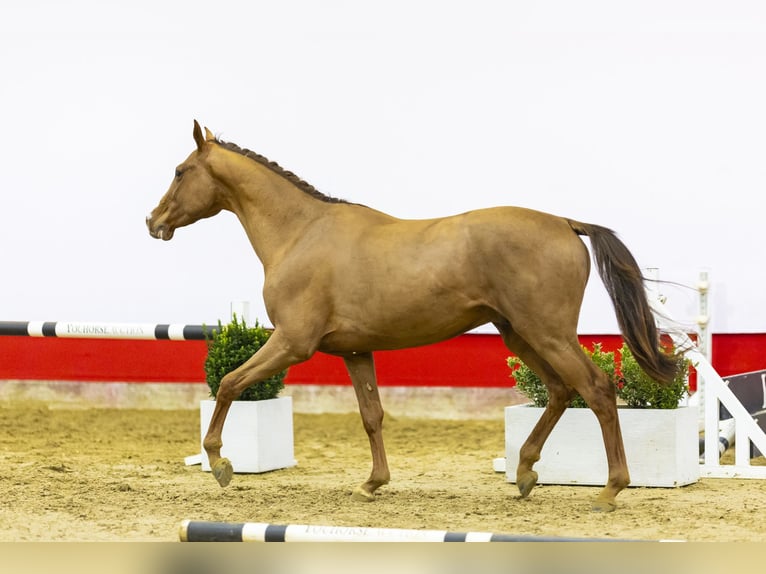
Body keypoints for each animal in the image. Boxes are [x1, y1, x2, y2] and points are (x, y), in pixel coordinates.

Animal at [148, 120, 680, 512]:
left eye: (180, 171)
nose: (153, 222)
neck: (301, 233)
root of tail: (567, 224)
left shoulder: (290, 343)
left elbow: (230, 383)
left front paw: (219, 462)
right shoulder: (355, 351)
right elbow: (372, 416)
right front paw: (373, 482)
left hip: (548, 334)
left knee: (596, 390)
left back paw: (610, 490)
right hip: (520, 336)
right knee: (560, 391)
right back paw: (526, 471)